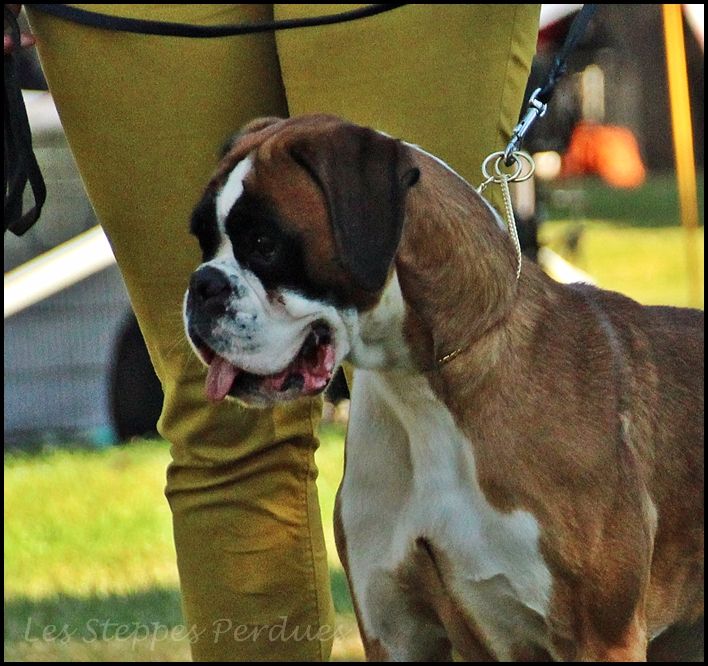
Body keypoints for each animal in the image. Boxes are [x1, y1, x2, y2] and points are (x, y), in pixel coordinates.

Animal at [183, 114, 704, 660]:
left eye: (266, 244)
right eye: (203, 243)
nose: (202, 285)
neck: (420, 388)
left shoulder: (601, 638)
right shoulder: (394, 632)